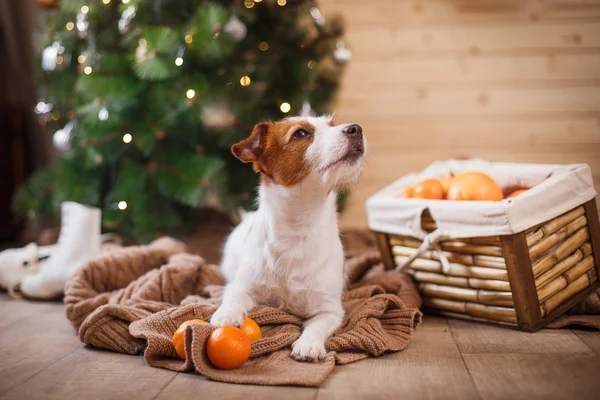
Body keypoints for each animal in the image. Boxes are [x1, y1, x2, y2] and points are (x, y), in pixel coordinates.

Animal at [211, 115, 366, 362]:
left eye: (332, 125)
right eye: (300, 133)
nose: (355, 129)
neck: (297, 228)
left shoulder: (330, 309)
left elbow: (318, 325)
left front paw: (308, 344)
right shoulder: (243, 284)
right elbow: (234, 294)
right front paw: (225, 314)